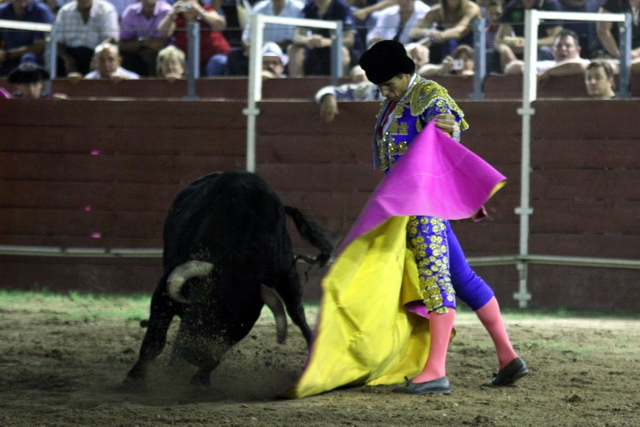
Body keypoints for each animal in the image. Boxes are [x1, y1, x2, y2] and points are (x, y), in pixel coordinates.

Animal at [125, 171, 336, 388]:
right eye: (199, 306)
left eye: (238, 325)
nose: (195, 356)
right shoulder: (164, 294)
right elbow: (154, 342)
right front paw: (134, 378)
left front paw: (200, 380)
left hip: (288, 278)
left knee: (296, 311)